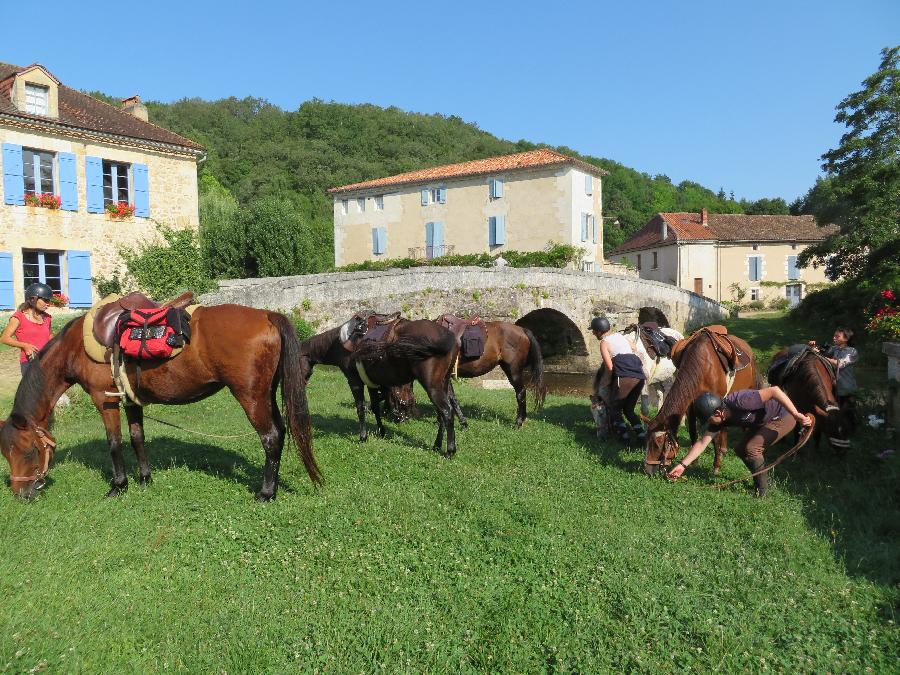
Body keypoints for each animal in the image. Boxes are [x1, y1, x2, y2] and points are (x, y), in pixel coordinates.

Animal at [0, 294, 320, 500]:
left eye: (26, 451)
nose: (20, 493)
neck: (75, 346)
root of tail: (267, 315)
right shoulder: (130, 400)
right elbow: (136, 437)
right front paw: (144, 478)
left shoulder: (105, 401)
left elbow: (114, 443)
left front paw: (119, 486)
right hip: (266, 394)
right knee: (280, 431)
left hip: (251, 397)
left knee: (270, 437)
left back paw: (266, 492)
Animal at [344, 316, 458, 454]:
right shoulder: (372, 384)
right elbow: (375, 407)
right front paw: (381, 431)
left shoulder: (355, 381)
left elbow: (361, 409)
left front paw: (363, 437)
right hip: (444, 384)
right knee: (442, 414)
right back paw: (437, 445)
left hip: (433, 387)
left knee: (447, 411)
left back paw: (450, 450)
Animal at [644, 326, 764, 476]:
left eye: (658, 443)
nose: (648, 471)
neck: (703, 366)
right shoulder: (691, 406)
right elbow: (693, 432)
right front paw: (694, 461)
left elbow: (715, 437)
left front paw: (716, 466)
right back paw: (724, 449)